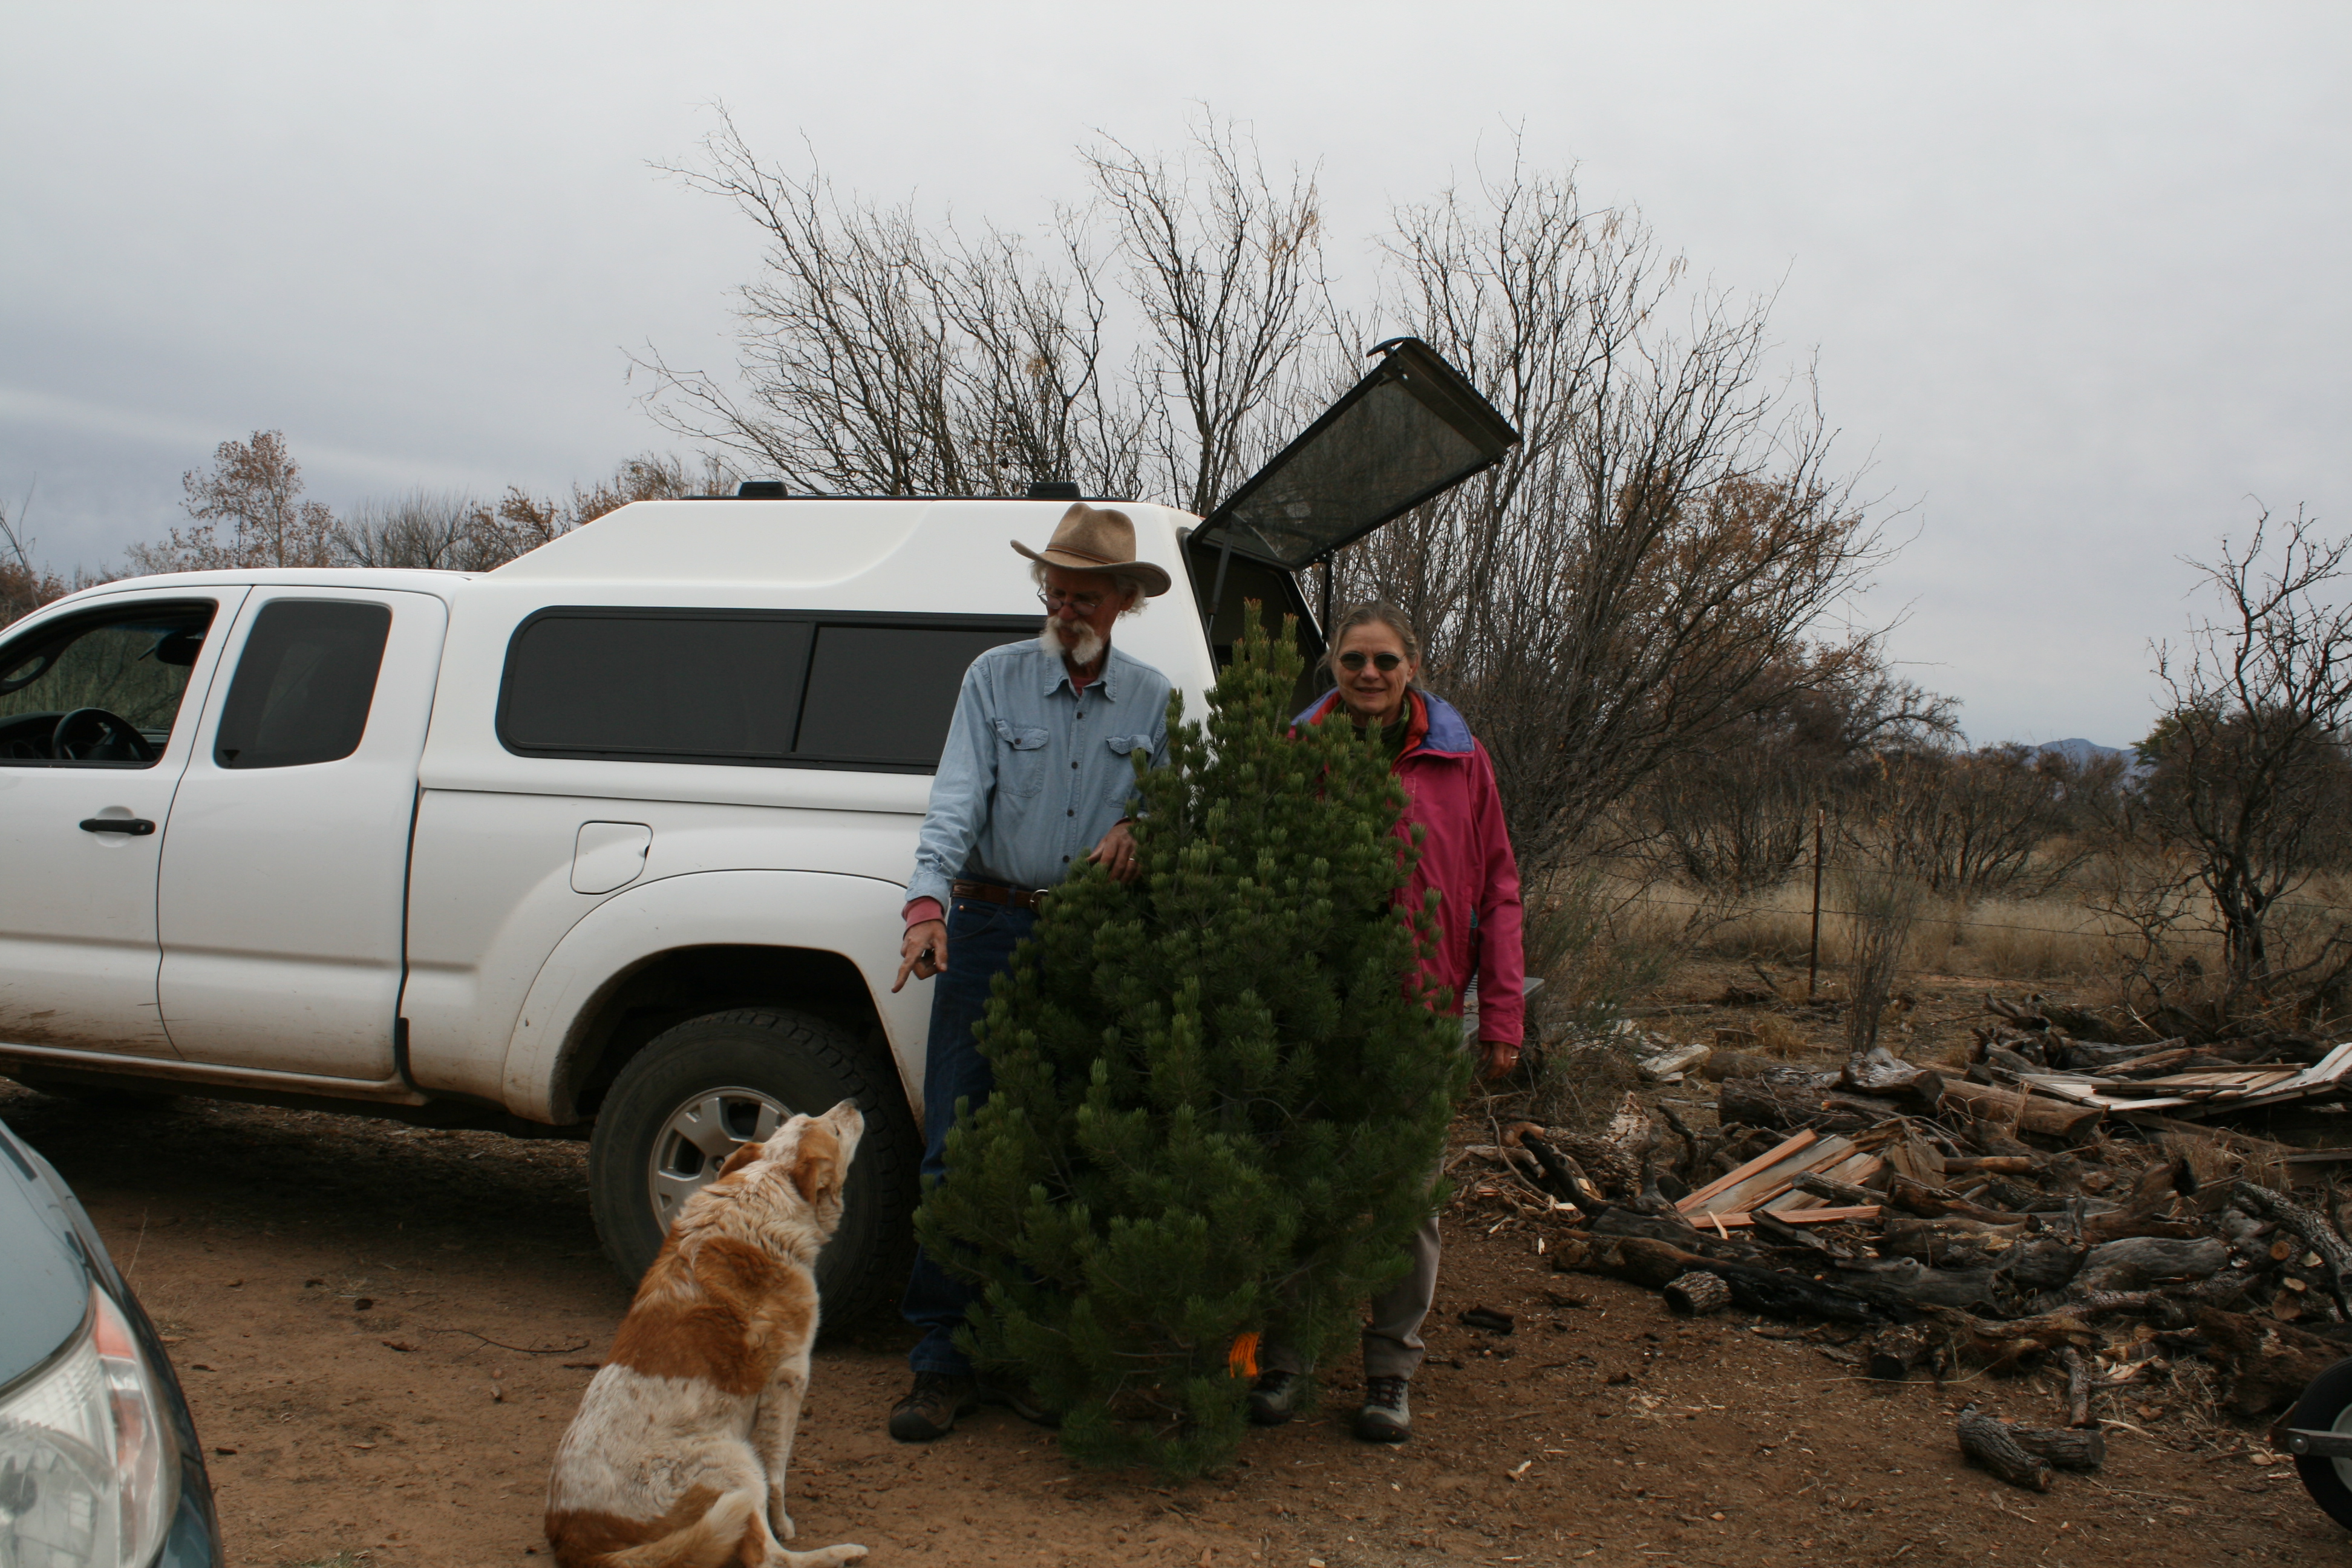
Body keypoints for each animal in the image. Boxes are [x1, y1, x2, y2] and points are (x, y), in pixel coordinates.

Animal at [550, 1105, 875, 1568]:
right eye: (834, 1129)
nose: (852, 1103)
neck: (763, 1190)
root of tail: (572, 1540)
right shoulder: (789, 1378)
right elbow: (778, 1473)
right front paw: (785, 1521)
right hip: (733, 1464)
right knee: (767, 1556)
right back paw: (840, 1552)